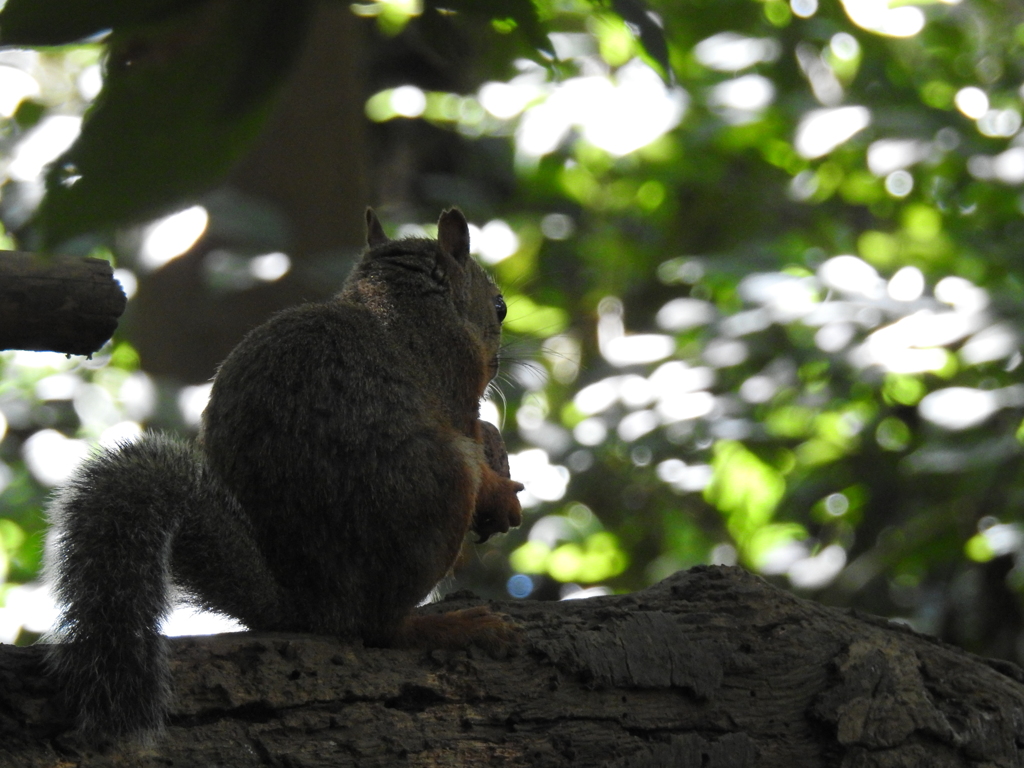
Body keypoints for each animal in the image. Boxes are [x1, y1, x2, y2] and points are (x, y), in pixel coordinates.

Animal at [44, 207, 524, 741]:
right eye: (500, 308)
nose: (498, 364)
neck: (403, 298)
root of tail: (311, 606)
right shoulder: (455, 383)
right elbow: (476, 443)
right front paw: (500, 490)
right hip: (437, 488)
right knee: (380, 628)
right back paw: (451, 627)